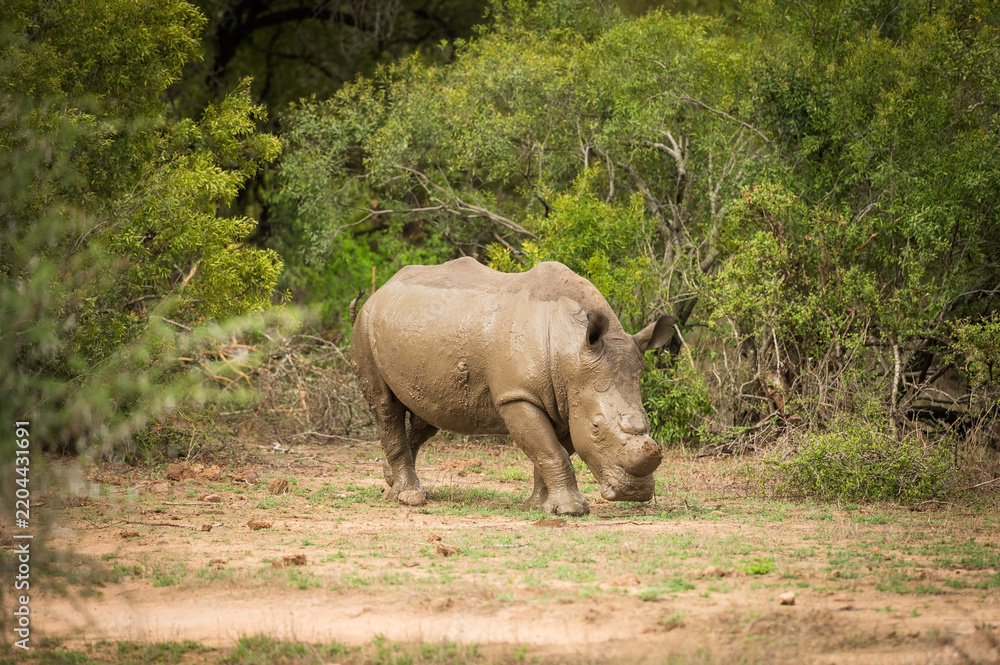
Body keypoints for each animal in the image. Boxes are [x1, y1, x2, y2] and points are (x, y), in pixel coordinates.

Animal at [349, 257, 675, 516]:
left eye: (647, 420)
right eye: (597, 428)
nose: (634, 493)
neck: (572, 351)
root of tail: (380, 290)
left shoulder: (569, 400)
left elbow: (551, 451)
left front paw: (538, 506)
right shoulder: (518, 396)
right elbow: (551, 451)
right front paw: (572, 510)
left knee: (427, 415)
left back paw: (392, 485)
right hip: (365, 326)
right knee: (385, 406)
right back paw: (410, 496)